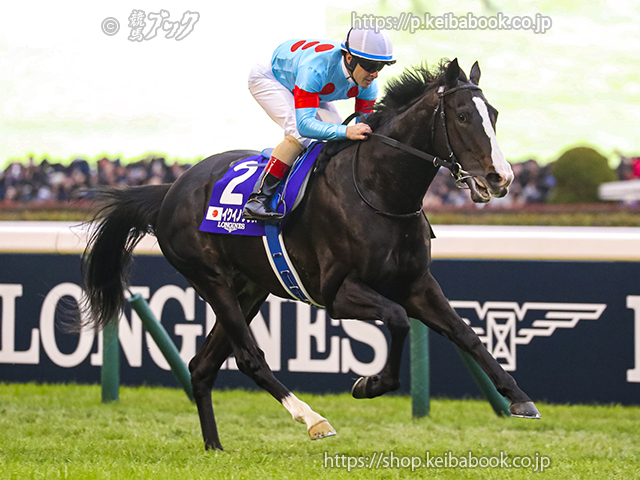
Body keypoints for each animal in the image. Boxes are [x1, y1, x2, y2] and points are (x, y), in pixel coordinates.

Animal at [82, 58, 540, 451]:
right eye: (462, 116)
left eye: (493, 114)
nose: (500, 178)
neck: (379, 190)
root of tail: (171, 190)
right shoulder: (338, 293)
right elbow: (396, 319)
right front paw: (369, 384)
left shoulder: (417, 284)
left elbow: (466, 333)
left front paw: (518, 397)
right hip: (210, 279)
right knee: (249, 358)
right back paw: (313, 419)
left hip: (250, 288)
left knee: (202, 365)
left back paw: (214, 446)